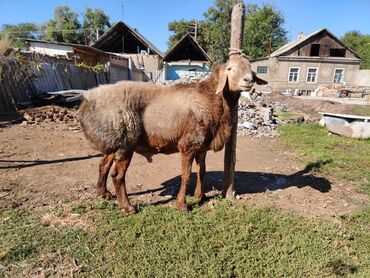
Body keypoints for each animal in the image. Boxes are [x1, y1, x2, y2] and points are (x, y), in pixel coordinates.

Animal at [79, 54, 268, 215]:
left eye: (251, 69)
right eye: (229, 68)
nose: (249, 80)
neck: (211, 99)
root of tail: (88, 99)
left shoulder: (202, 146)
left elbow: (202, 172)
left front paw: (200, 196)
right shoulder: (188, 144)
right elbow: (186, 176)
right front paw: (182, 204)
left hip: (114, 141)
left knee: (103, 166)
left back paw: (103, 194)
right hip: (126, 142)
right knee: (117, 176)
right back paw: (128, 207)